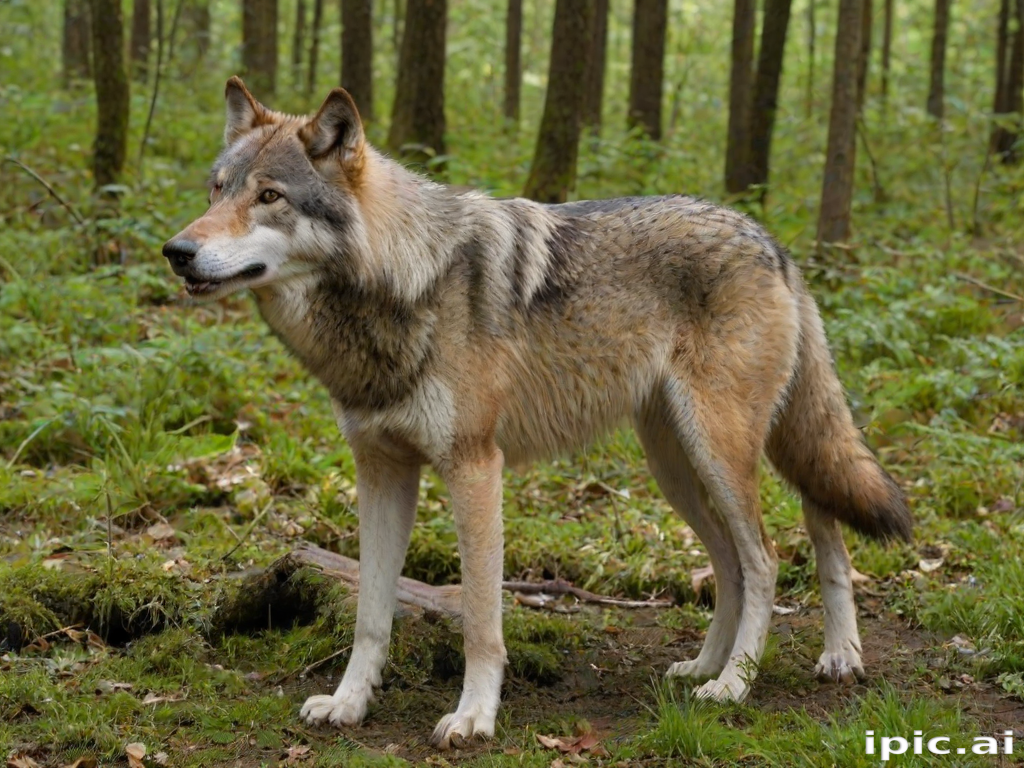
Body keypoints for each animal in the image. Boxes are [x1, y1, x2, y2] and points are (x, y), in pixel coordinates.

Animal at [163, 78, 912, 748]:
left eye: (269, 196)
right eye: (216, 189)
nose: (177, 251)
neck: (399, 286)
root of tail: (769, 238)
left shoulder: (474, 467)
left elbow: (480, 620)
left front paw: (474, 718)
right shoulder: (381, 472)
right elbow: (371, 616)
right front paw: (349, 705)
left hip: (722, 451)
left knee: (774, 554)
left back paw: (745, 681)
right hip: (677, 466)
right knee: (751, 552)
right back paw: (727, 663)